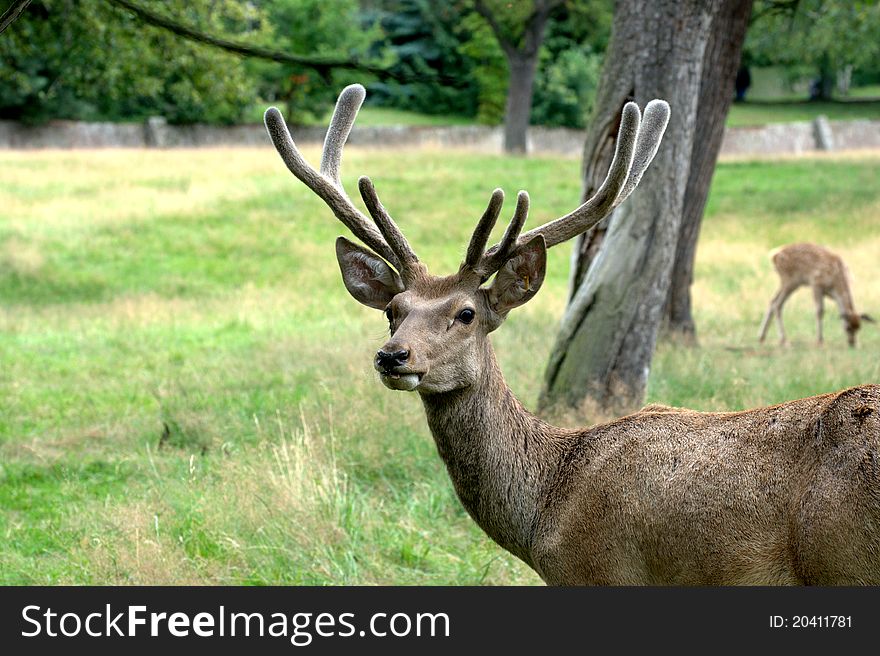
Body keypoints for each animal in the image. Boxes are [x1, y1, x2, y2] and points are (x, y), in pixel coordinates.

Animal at [262, 83, 880, 584]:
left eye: (466, 313)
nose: (393, 356)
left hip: (843, 561)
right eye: (393, 309)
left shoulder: (600, 570)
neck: (547, 508)